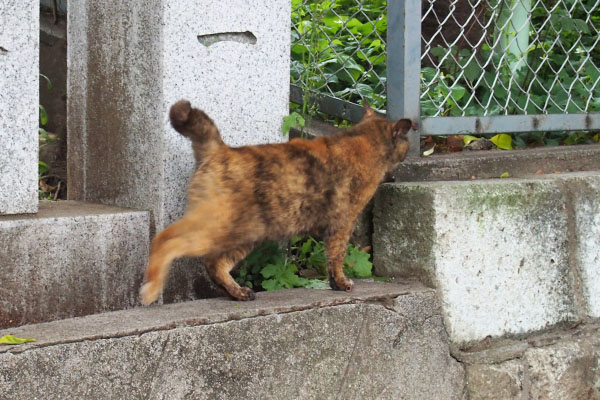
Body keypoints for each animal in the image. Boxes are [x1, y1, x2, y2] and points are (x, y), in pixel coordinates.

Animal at [140, 101, 412, 304]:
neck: (362, 139)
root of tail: (220, 150)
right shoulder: (343, 224)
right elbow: (336, 257)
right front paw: (342, 283)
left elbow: (329, 257)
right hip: (218, 228)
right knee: (164, 240)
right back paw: (150, 290)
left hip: (246, 235)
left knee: (214, 264)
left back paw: (239, 292)